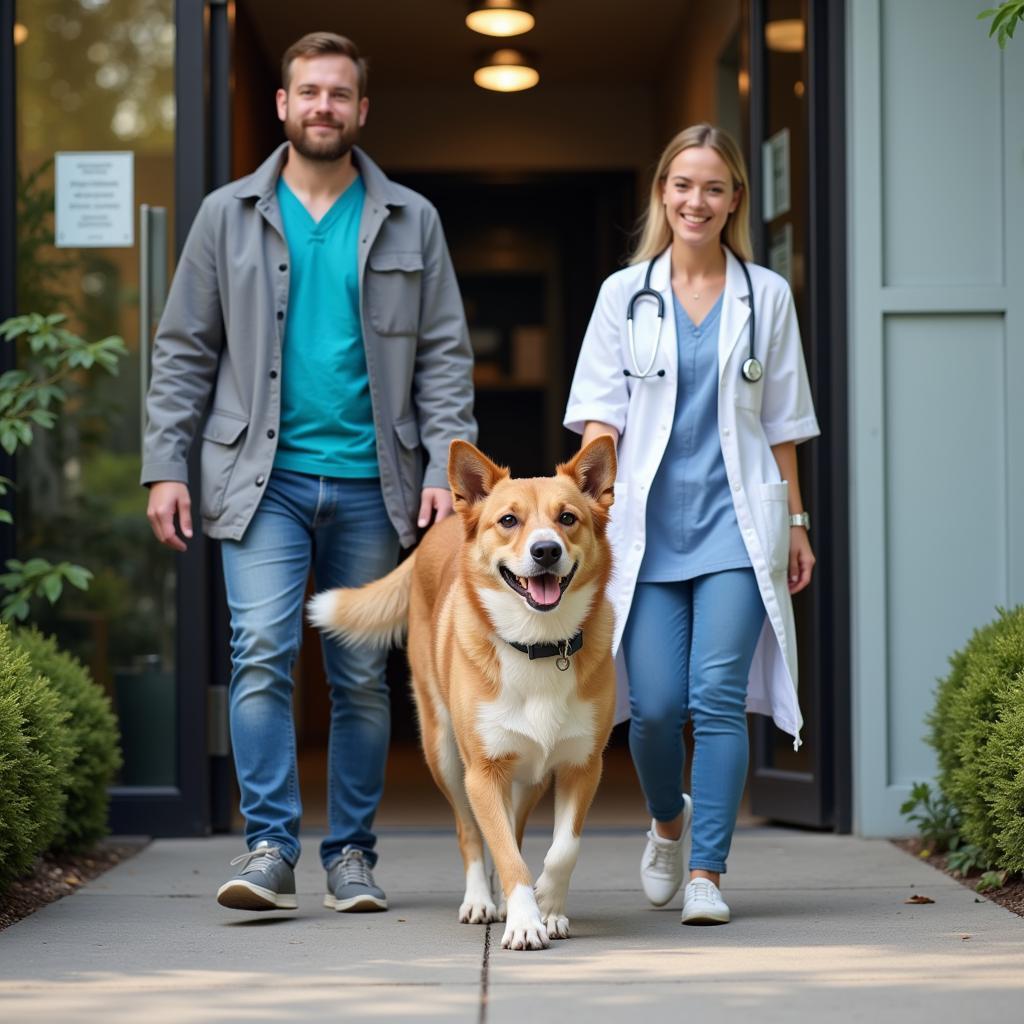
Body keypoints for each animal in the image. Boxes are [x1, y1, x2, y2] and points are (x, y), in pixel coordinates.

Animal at [307, 438, 614, 950]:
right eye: (508, 520)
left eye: (567, 517)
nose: (546, 550)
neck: (537, 643)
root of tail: (447, 521)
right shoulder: (483, 773)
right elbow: (505, 852)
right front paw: (525, 921)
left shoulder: (583, 766)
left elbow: (561, 849)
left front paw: (547, 906)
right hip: (445, 755)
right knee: (469, 831)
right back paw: (482, 901)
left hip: (529, 777)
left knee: (514, 827)